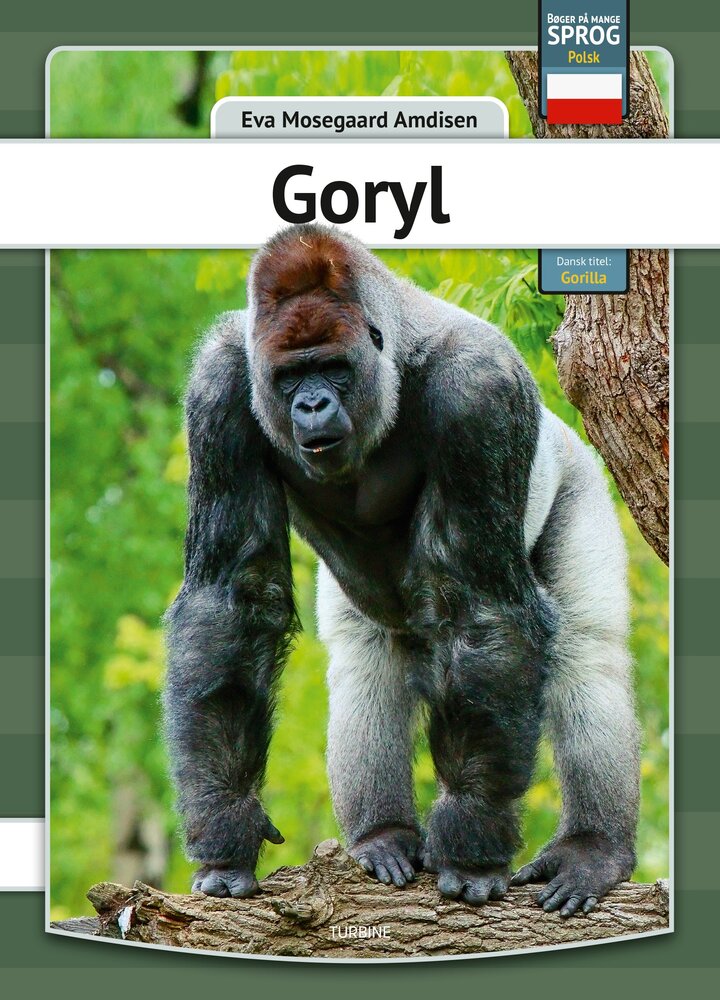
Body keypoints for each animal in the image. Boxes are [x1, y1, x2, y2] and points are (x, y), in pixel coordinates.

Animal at [164, 224, 640, 917]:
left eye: (333, 368)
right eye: (290, 377)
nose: (311, 405)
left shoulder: (480, 391)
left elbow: (480, 610)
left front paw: (471, 845)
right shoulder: (220, 385)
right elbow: (230, 601)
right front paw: (226, 828)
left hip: (576, 472)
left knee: (587, 651)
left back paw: (592, 848)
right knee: (365, 661)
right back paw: (381, 836)